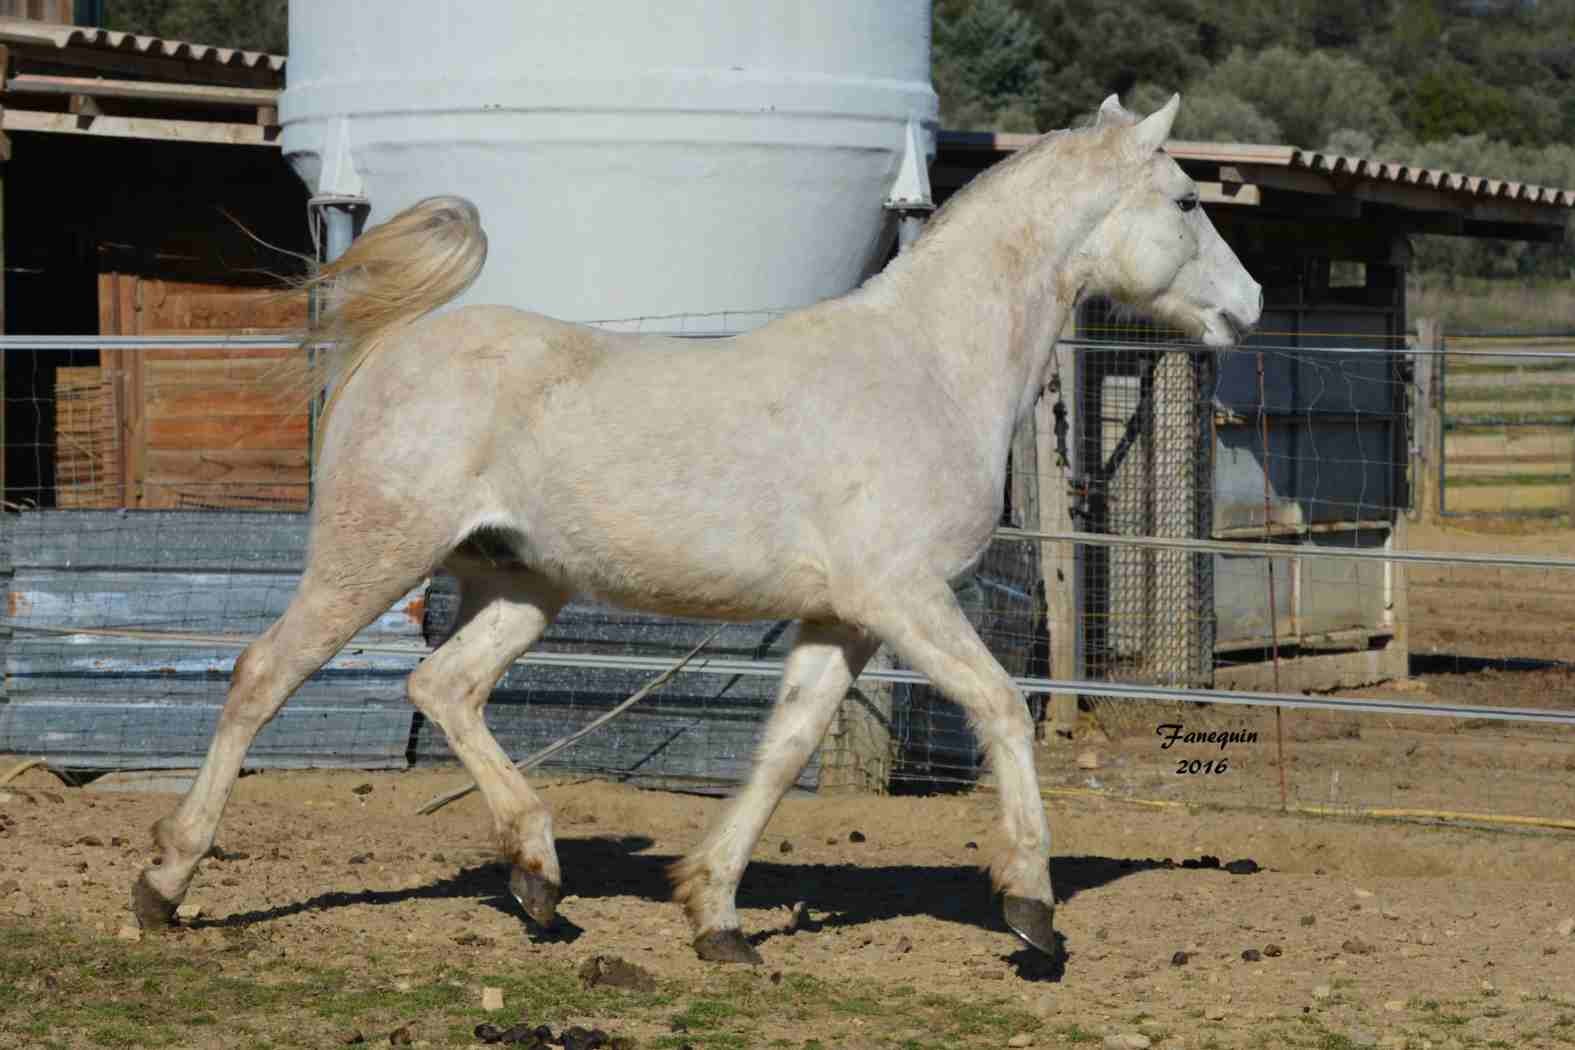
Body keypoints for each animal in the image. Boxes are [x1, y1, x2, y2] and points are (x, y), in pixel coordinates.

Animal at [135, 94, 1266, 963]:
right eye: (1186, 199)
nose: (1249, 306)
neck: (929, 368)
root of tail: (394, 351)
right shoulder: (902, 597)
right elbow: (999, 708)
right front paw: (1032, 910)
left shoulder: (843, 620)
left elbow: (783, 747)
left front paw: (715, 916)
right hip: (370, 560)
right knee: (261, 676)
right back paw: (163, 884)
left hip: (522, 584)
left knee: (443, 686)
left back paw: (539, 881)